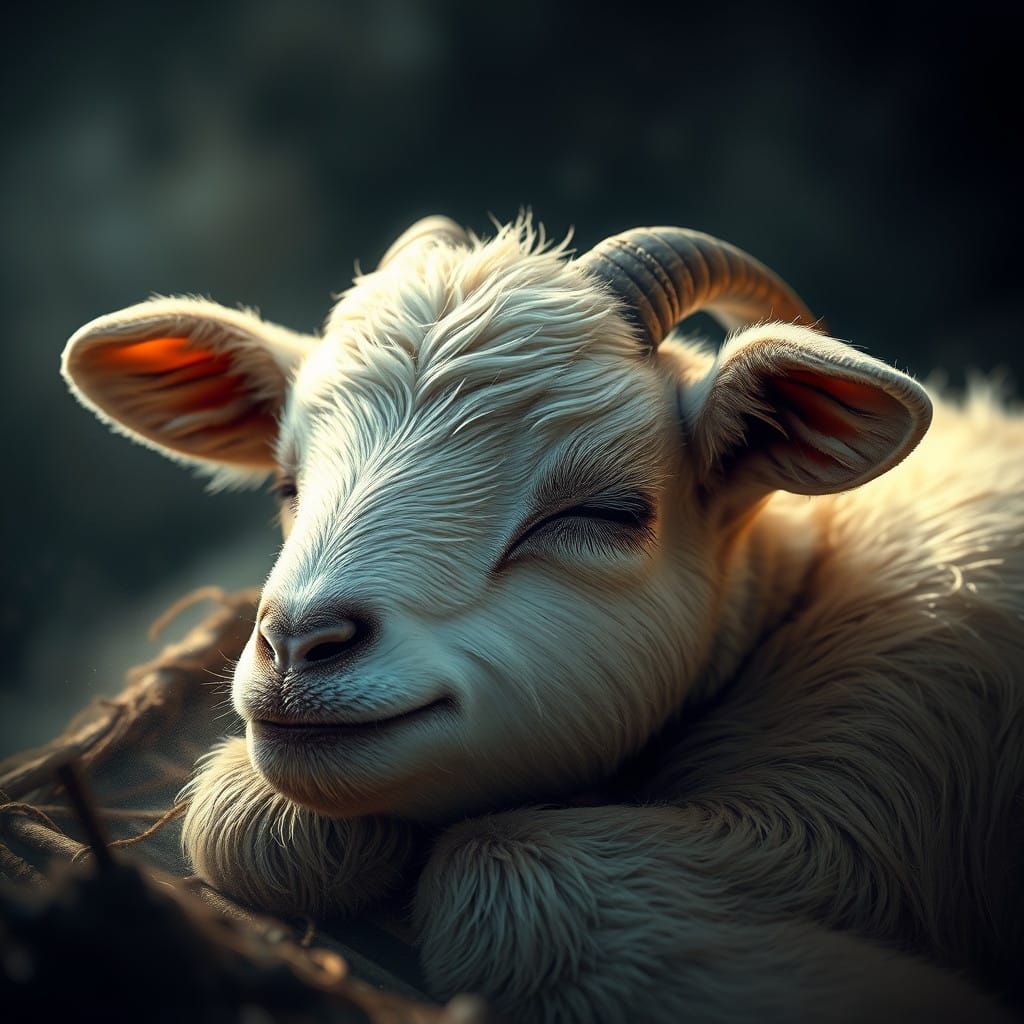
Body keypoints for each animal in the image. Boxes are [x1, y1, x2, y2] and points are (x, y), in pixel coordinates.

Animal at [61, 215, 1023, 1023]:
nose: (300, 645)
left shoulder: (854, 787)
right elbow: (247, 822)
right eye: (286, 483)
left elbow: (504, 877)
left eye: (602, 511)